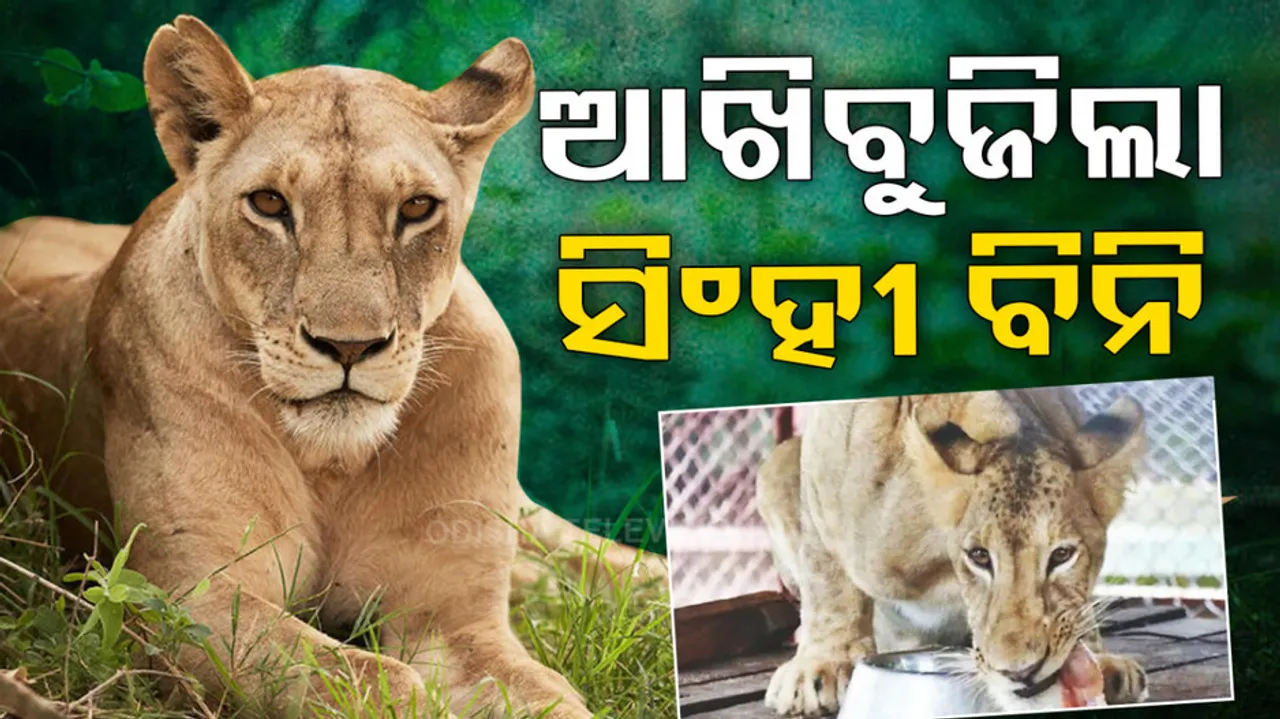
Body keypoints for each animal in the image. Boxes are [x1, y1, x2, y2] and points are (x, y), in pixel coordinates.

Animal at [0, 15, 666, 719]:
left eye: (417, 208)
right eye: (269, 203)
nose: (349, 347)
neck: (334, 461)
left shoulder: (455, 618)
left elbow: (549, 696)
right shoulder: (187, 600)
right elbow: (373, 681)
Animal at [755, 387, 1149, 716]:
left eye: (1062, 555)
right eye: (979, 556)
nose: (1020, 672)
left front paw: (1101, 660)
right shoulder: (822, 466)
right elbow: (827, 580)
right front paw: (821, 668)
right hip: (777, 463)